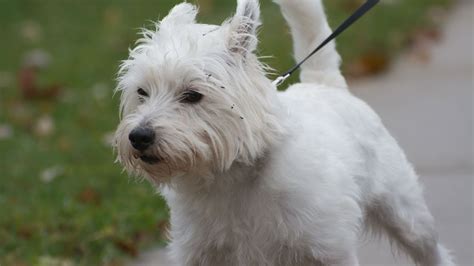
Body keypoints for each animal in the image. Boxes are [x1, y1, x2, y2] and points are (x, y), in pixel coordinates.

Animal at [114, 0, 452, 264]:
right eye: (142, 92)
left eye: (192, 95)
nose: (139, 137)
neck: (231, 179)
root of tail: (325, 84)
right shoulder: (201, 252)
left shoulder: (328, 249)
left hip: (407, 214)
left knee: (432, 251)